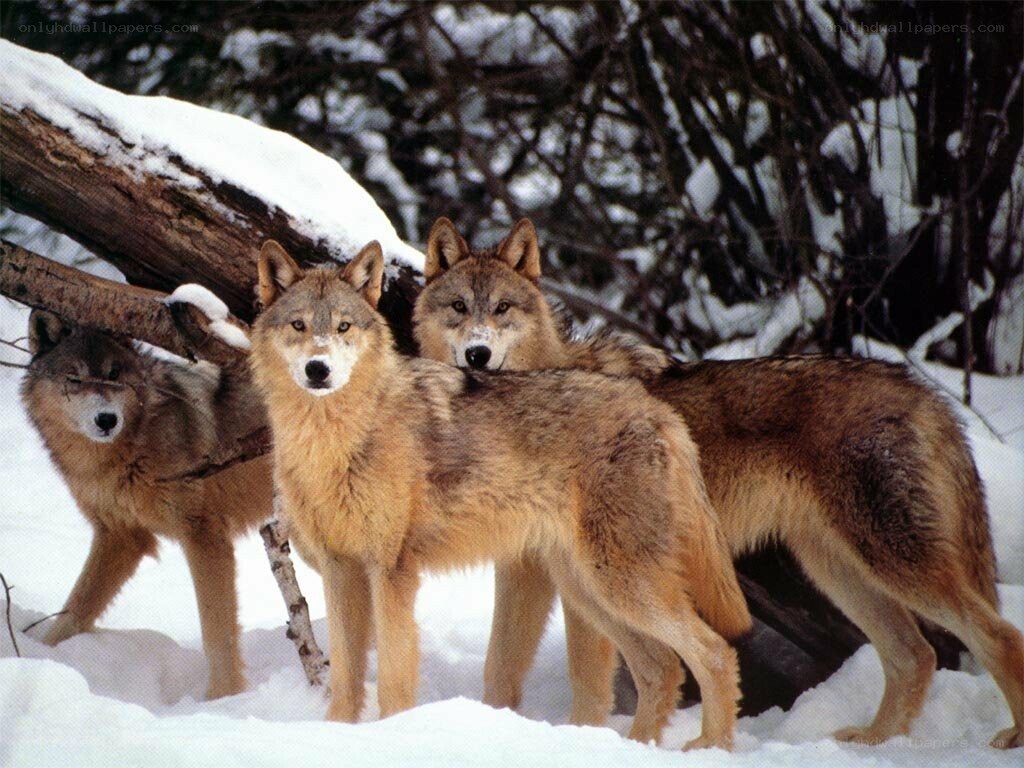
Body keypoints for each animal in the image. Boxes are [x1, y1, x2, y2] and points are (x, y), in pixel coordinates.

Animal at [20, 310, 273, 699]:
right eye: (74, 379)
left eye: (114, 374)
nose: (106, 419)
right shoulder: (120, 537)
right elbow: (73, 612)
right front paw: (43, 657)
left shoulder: (204, 535)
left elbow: (217, 632)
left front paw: (222, 699)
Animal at [249, 239, 752, 750]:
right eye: (299, 325)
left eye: (343, 327)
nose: (318, 369)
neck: (336, 441)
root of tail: (656, 408)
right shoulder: (340, 572)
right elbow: (345, 681)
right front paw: (337, 735)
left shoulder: (391, 573)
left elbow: (392, 678)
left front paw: (395, 734)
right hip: (589, 589)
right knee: (661, 667)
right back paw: (635, 747)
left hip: (621, 583)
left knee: (714, 651)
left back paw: (710, 746)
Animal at [412, 217, 1024, 750]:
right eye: (459, 308)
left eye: (503, 308)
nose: (477, 354)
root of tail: (918, 388)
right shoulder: (529, 570)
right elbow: (499, 668)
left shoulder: (566, 583)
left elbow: (587, 679)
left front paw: (584, 737)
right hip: (837, 570)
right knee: (915, 655)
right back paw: (875, 742)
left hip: (892, 563)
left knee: (996, 635)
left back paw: (1006, 736)